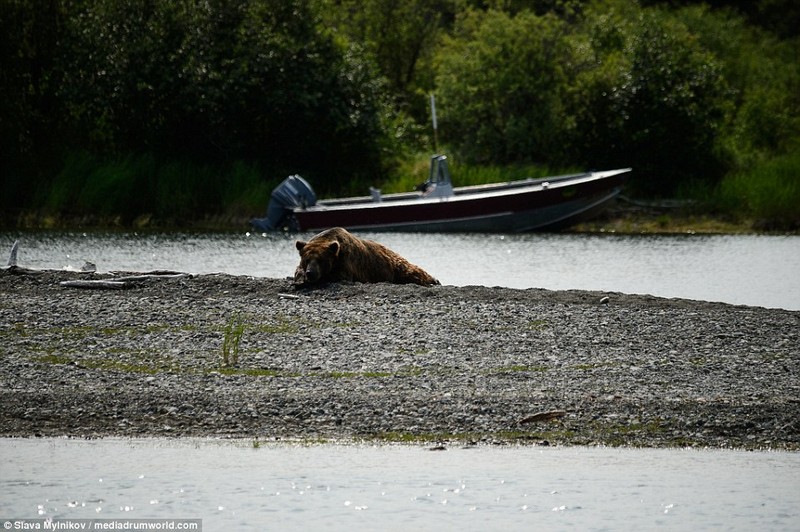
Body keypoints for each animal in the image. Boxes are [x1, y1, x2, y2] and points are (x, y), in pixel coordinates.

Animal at [296, 228, 440, 286]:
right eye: (306, 260)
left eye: (321, 260)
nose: (311, 273)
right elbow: (297, 271)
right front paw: (301, 278)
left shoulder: (346, 262)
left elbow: (338, 276)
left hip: (394, 266)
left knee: (411, 271)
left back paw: (434, 280)